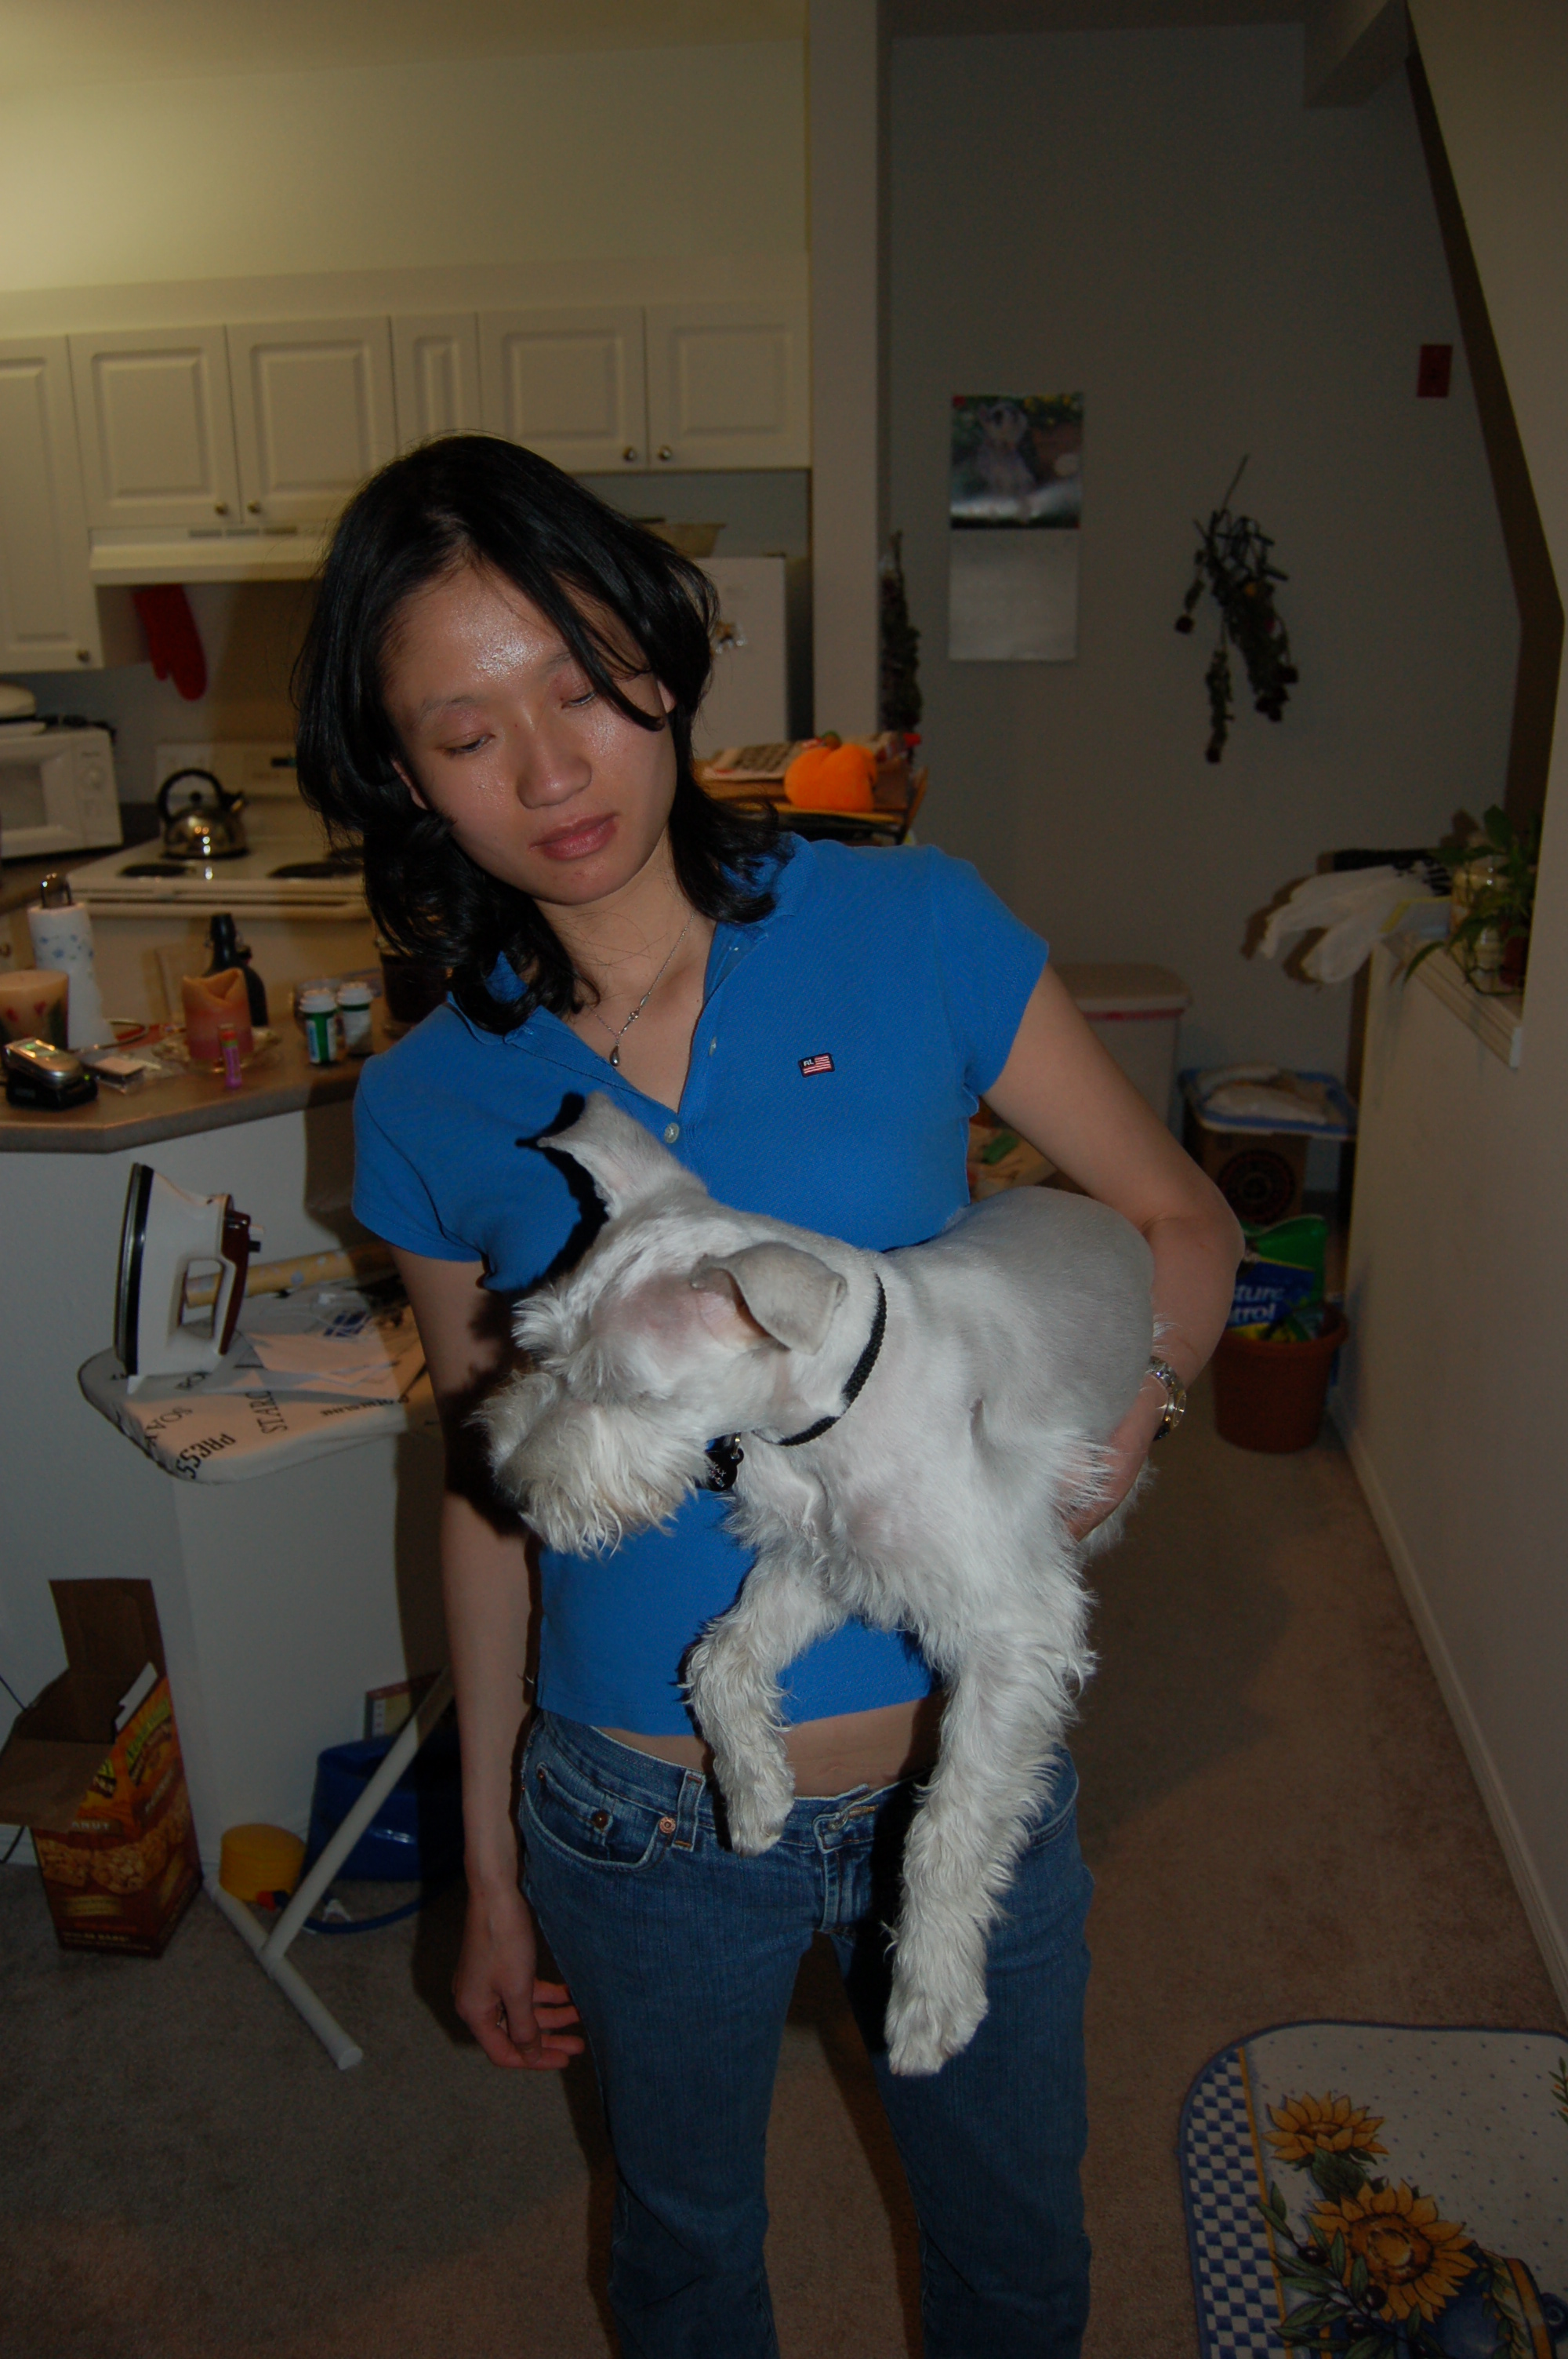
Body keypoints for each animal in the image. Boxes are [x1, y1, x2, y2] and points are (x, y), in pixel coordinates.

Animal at [480, 1094, 1154, 2075]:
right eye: (540, 1347)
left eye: (626, 1391)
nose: (509, 1488)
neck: (833, 1407)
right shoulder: (819, 1561)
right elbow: (719, 1660)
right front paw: (757, 1795)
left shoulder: (1011, 1630)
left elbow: (945, 1825)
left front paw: (929, 1998)